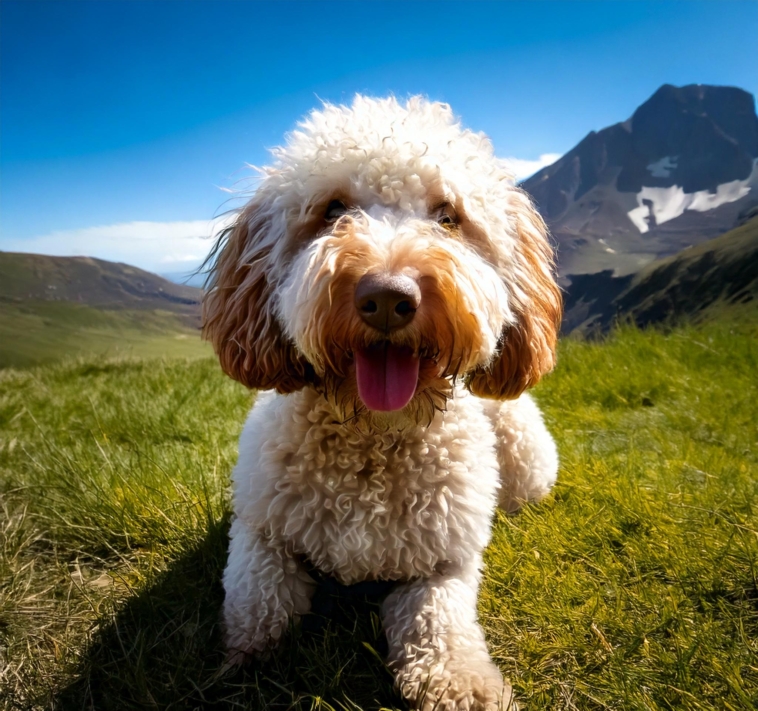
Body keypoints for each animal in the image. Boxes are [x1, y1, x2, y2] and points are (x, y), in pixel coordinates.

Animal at [203, 96, 564, 711]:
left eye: (448, 216)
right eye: (332, 210)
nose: (389, 298)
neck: (372, 433)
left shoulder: (444, 562)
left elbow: (440, 622)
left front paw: (463, 682)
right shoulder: (261, 531)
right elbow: (258, 599)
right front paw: (240, 660)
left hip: (525, 457)